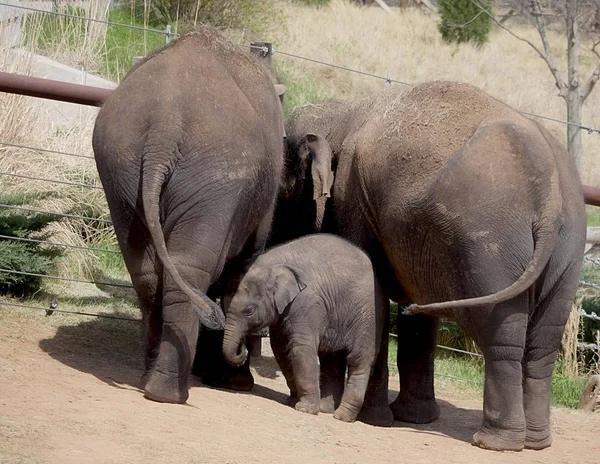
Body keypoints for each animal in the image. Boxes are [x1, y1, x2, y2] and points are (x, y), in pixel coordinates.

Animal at [91, 29, 286, 404]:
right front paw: (234, 380)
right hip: (216, 174)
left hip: (121, 163)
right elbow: (244, 265)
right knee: (190, 268)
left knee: (147, 270)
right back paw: (170, 393)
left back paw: (151, 379)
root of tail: (164, 126)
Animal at [220, 234, 394, 426]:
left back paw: (342, 417)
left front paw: (305, 409)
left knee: (358, 360)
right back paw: (326, 409)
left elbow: (300, 348)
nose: (243, 349)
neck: (274, 263)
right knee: (331, 359)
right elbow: (281, 349)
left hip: (369, 317)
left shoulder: (307, 303)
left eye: (249, 311)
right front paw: (292, 401)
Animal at [276, 81, 584, 452]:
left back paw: (494, 442)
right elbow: (417, 314)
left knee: (501, 336)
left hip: (489, 248)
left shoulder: (353, 201)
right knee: (543, 343)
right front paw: (410, 418)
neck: (344, 111)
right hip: (568, 253)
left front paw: (364, 417)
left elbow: (374, 295)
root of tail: (550, 196)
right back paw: (536, 443)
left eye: (281, 190)